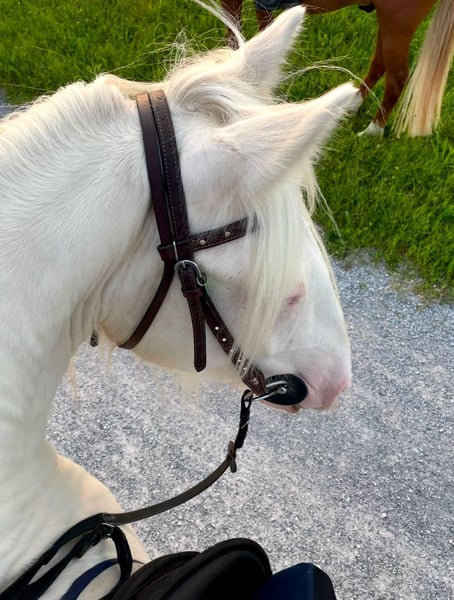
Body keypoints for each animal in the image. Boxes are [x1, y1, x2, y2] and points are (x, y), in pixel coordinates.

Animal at [220, 0, 454, 136]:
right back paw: (353, 105)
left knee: (397, 77)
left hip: (397, 24)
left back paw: (372, 132)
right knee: (379, 64)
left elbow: (235, 42)